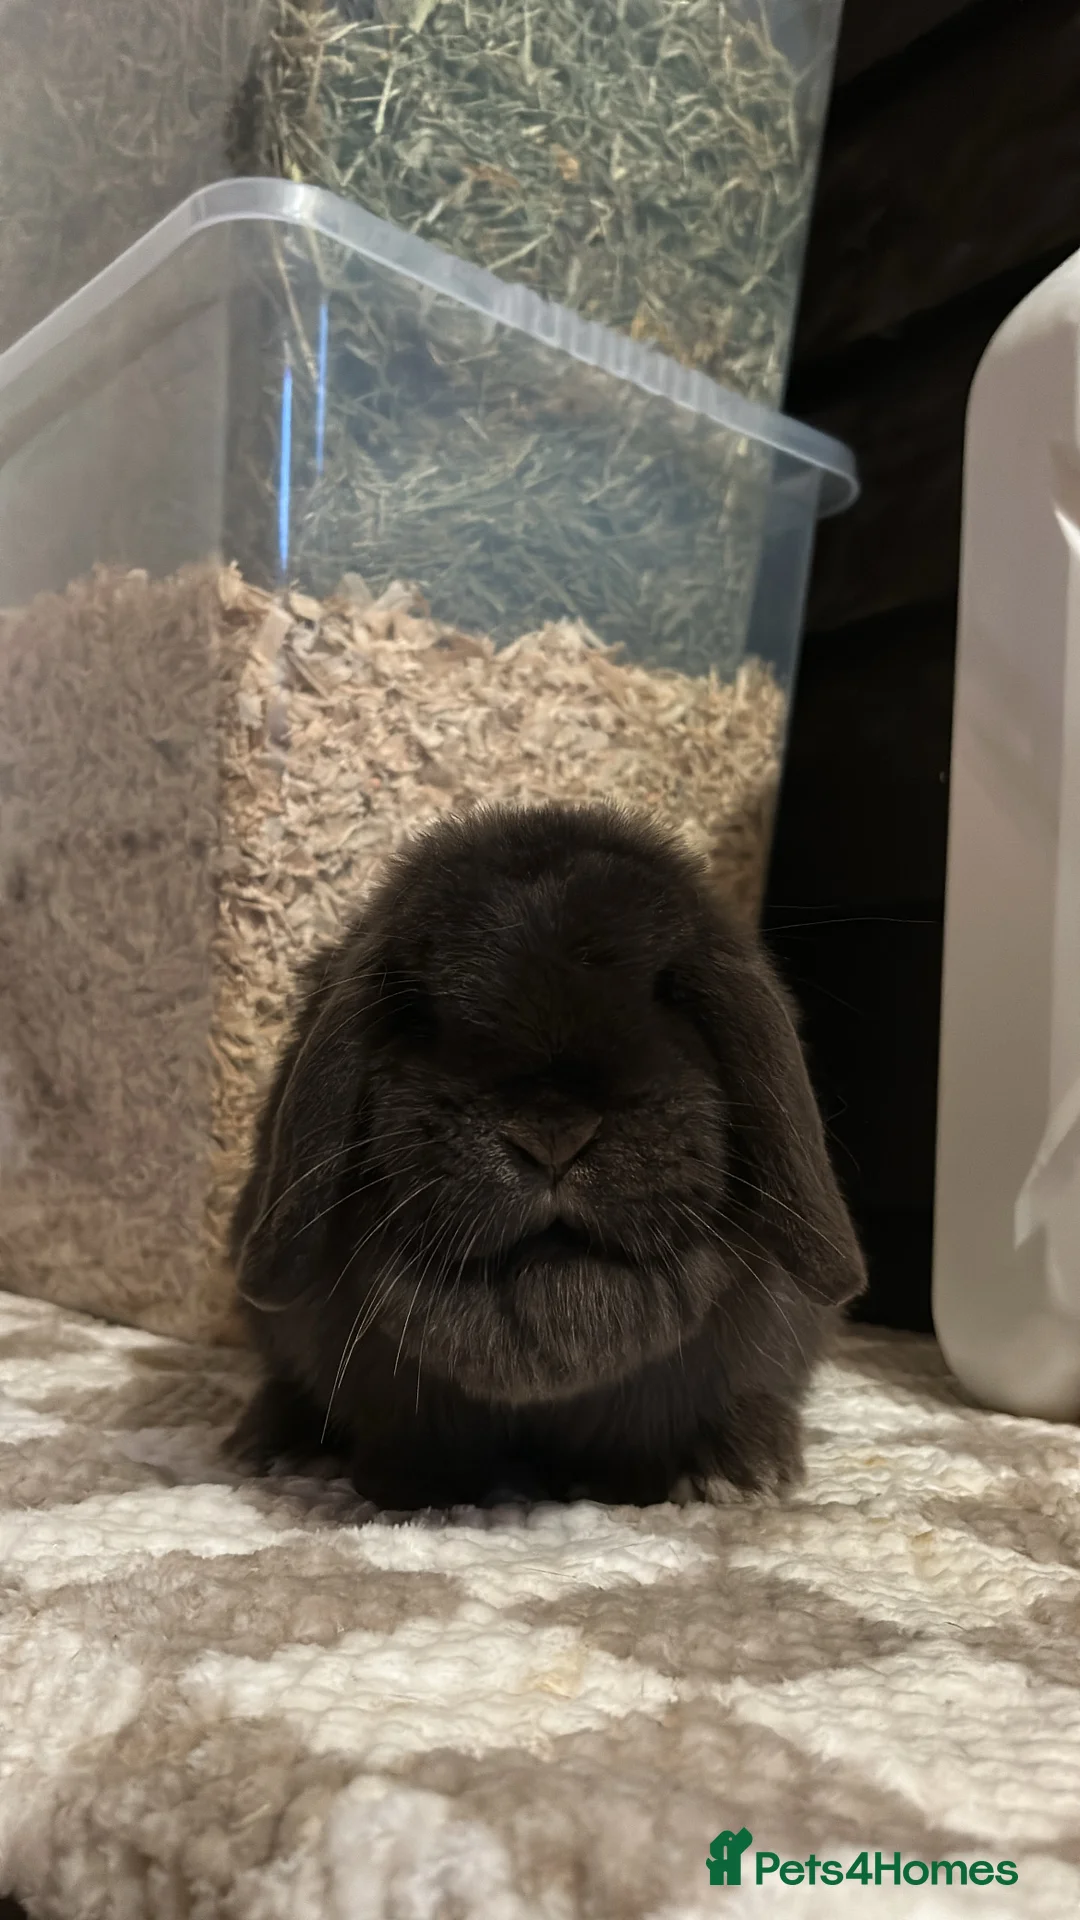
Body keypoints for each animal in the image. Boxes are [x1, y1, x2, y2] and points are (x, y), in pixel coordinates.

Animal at [228, 800, 865, 1512]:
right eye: (419, 1012)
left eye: (669, 992)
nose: (553, 1130)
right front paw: (407, 1486)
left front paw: (737, 1473)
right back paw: (275, 1445)